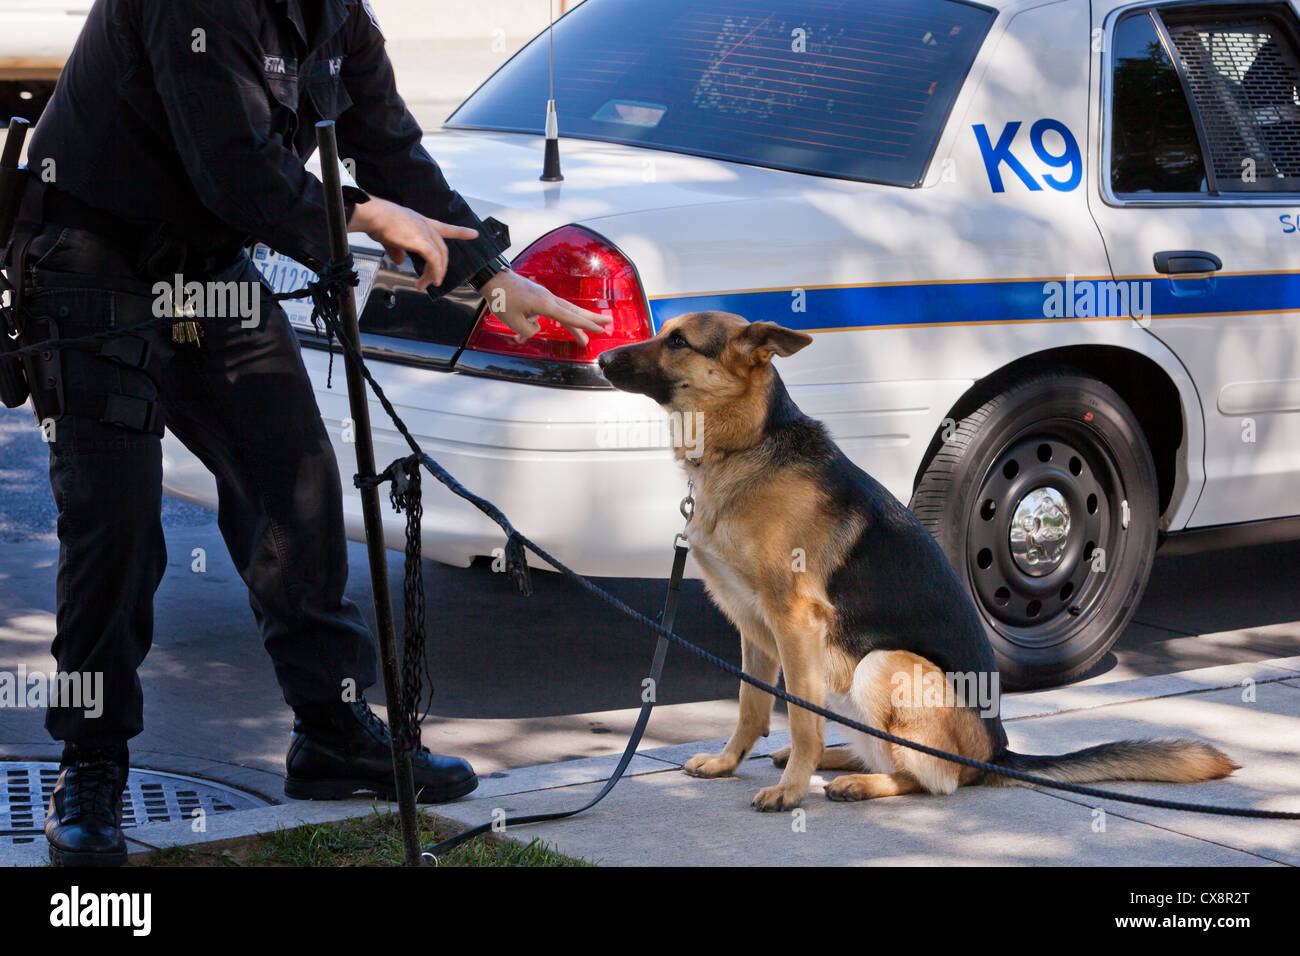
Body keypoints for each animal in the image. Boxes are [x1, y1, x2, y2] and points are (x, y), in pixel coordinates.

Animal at [598, 316, 1237, 816]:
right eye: (664, 331)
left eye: (678, 341)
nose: (600, 358)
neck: (747, 445)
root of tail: (997, 753)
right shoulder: (755, 628)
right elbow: (751, 707)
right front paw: (731, 763)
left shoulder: (795, 622)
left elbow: (800, 719)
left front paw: (792, 791)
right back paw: (840, 760)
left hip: (879, 664)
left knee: (935, 777)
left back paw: (857, 781)